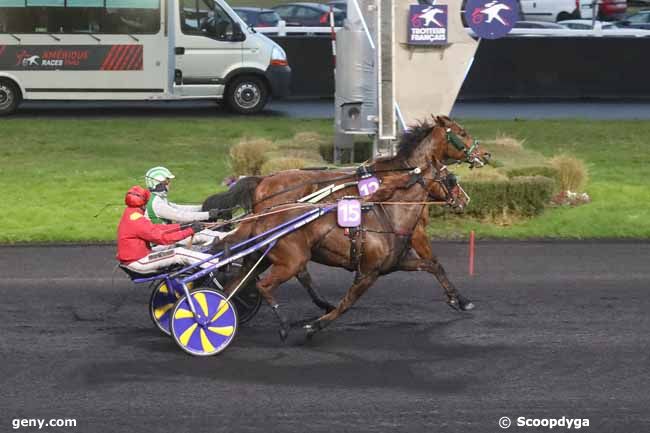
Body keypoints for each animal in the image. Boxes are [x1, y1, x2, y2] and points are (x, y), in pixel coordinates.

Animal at [205, 115, 488, 310]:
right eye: (462, 132)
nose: (485, 154)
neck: (404, 174)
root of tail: (263, 180)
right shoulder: (415, 230)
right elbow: (435, 263)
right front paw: (460, 299)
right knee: (298, 269)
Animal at [221, 157, 460, 340]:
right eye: (451, 179)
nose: (463, 200)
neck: (389, 215)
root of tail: (263, 216)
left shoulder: (397, 262)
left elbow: (433, 266)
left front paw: (459, 300)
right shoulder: (368, 272)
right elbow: (347, 303)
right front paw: (314, 326)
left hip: (260, 258)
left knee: (232, 287)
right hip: (292, 260)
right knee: (265, 285)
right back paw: (284, 325)